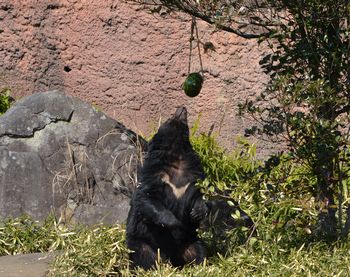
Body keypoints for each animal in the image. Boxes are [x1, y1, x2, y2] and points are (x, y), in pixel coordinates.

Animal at [126, 105, 208, 268]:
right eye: (170, 117)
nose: (182, 107)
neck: (177, 153)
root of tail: (173, 258)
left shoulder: (194, 172)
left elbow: (199, 193)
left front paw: (197, 212)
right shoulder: (155, 173)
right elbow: (147, 197)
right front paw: (174, 223)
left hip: (190, 241)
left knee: (198, 251)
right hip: (143, 241)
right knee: (145, 256)